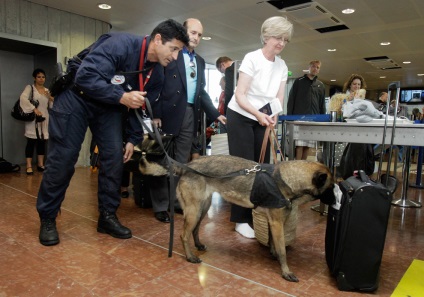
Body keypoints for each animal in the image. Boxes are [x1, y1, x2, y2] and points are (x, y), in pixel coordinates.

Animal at [139, 154, 334, 280]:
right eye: (331, 187)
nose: (337, 200)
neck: (285, 179)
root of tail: (188, 166)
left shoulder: (274, 222)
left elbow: (273, 243)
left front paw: (273, 255)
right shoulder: (277, 223)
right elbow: (282, 250)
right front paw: (286, 271)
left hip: (202, 208)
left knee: (194, 230)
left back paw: (199, 245)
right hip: (194, 211)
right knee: (183, 234)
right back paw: (190, 257)